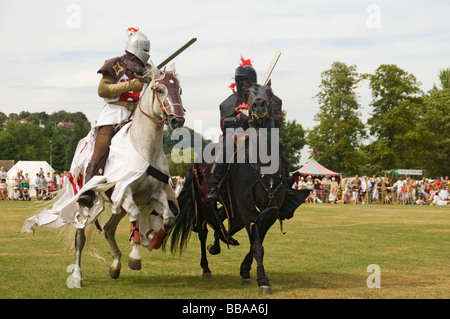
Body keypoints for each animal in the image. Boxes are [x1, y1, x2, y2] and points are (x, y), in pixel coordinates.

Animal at [168, 83, 310, 296]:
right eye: (249, 92)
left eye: (269, 93)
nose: (259, 106)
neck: (262, 163)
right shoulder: (247, 209)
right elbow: (257, 245)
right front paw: (263, 281)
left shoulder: (268, 210)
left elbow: (256, 242)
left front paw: (245, 272)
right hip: (203, 203)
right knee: (203, 231)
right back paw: (206, 267)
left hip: (229, 203)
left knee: (221, 221)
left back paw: (220, 243)